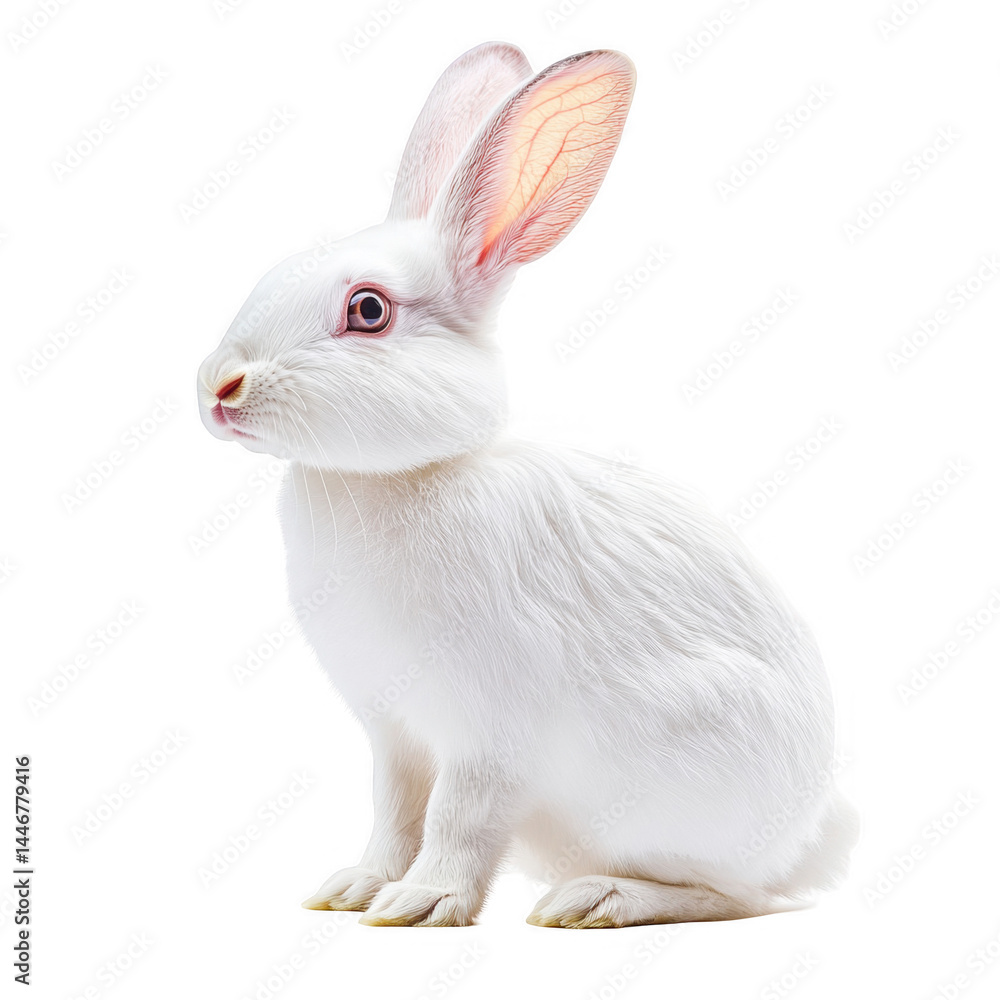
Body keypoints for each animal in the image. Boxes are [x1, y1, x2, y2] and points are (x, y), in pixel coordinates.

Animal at [196, 41, 857, 928]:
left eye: (368, 311)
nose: (218, 387)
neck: (401, 475)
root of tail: (811, 835)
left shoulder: (489, 734)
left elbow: (458, 817)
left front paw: (423, 903)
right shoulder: (394, 734)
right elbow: (394, 813)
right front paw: (356, 888)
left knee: (730, 894)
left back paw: (599, 899)